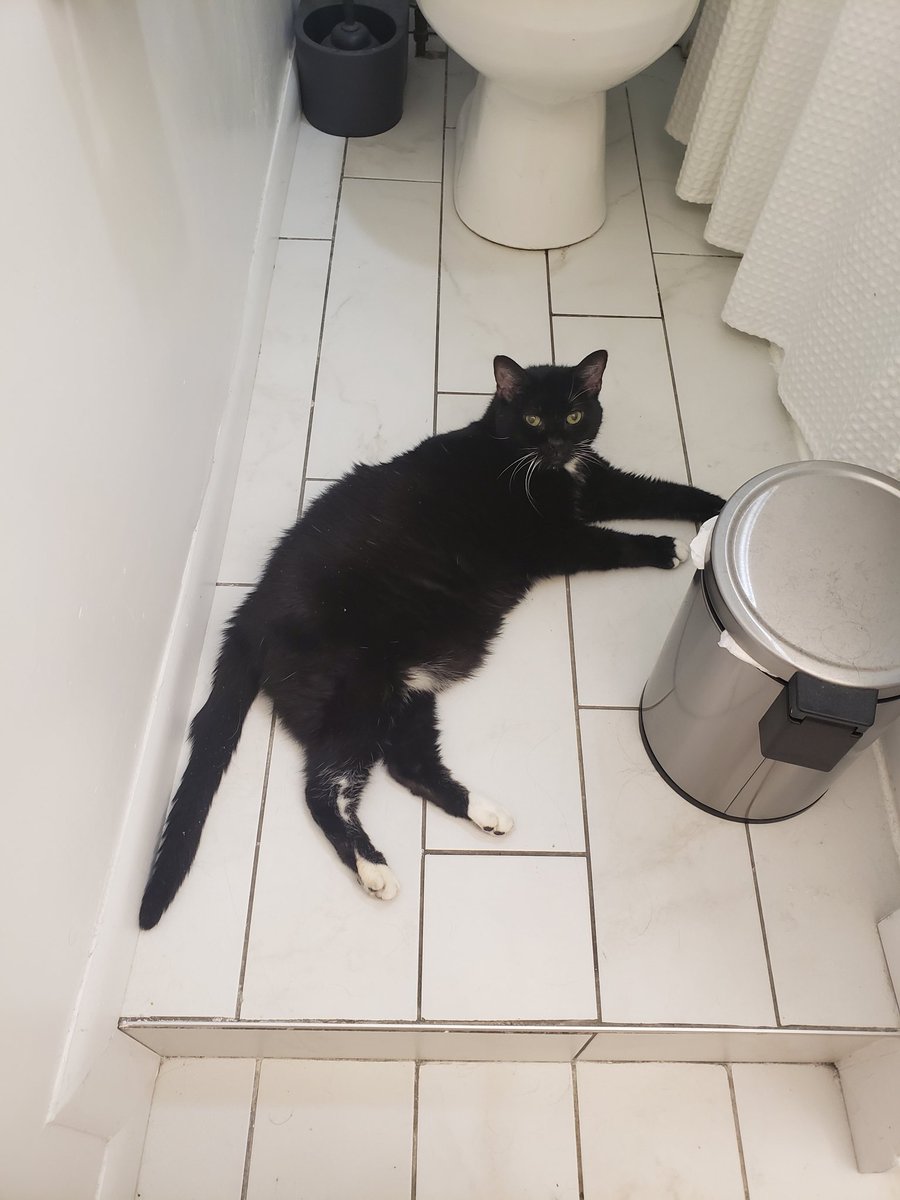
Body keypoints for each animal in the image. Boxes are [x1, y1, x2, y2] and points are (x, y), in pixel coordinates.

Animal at [141, 350, 724, 926]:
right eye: (534, 419)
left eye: (576, 415)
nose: (558, 445)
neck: (546, 468)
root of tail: (249, 611)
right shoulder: (553, 539)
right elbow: (610, 544)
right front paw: (664, 547)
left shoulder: (603, 482)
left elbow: (665, 490)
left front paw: (718, 510)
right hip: (357, 688)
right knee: (322, 788)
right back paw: (375, 870)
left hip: (407, 689)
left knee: (408, 764)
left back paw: (485, 813)